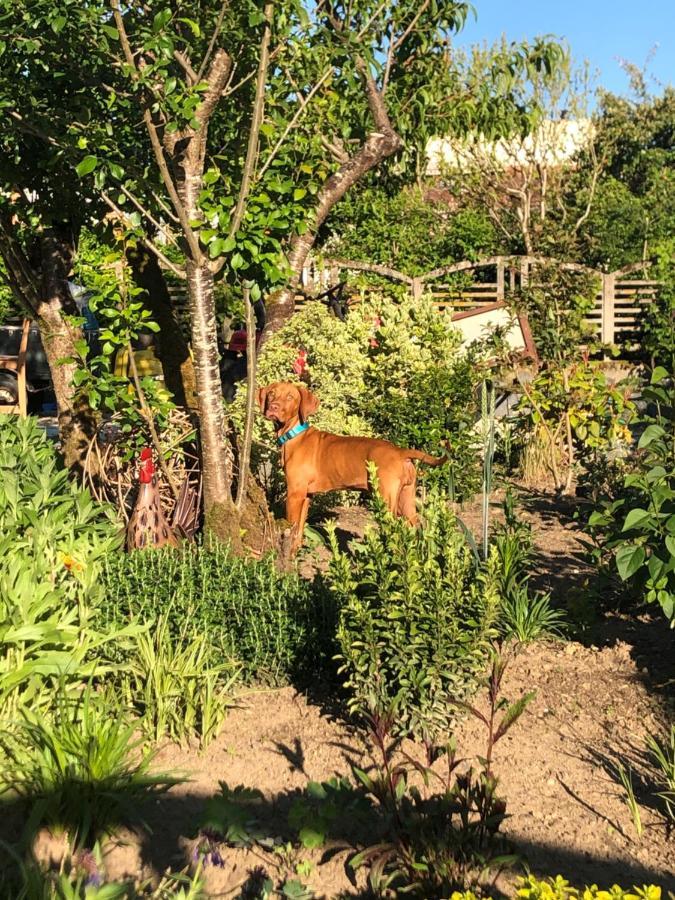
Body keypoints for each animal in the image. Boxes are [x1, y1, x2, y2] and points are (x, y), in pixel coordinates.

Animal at [256, 380, 446, 548]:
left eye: (290, 397)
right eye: (272, 393)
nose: (273, 407)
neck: (294, 434)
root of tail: (400, 451)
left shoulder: (294, 494)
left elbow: (291, 525)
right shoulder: (306, 495)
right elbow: (298, 530)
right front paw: (295, 553)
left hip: (386, 499)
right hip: (406, 500)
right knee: (415, 528)